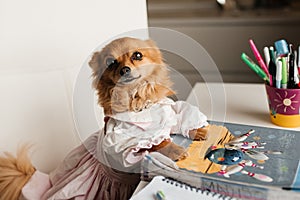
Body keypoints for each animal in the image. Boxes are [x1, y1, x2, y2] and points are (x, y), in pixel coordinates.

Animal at [0, 36, 210, 199]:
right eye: (111, 62)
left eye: (137, 55)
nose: (124, 69)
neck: (137, 103)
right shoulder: (122, 140)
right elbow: (153, 142)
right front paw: (174, 149)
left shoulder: (167, 112)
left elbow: (180, 118)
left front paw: (199, 130)